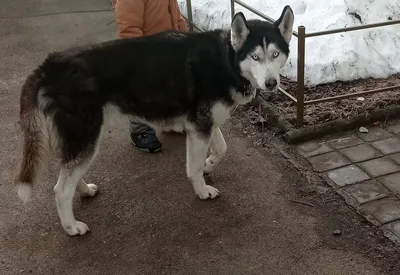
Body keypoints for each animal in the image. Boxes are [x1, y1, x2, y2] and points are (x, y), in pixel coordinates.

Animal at [15, 5, 294, 236]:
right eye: (255, 57)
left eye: (275, 54)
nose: (272, 83)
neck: (226, 59)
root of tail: (50, 65)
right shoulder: (200, 127)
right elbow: (193, 168)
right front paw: (202, 190)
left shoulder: (203, 123)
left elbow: (221, 149)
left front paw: (209, 165)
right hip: (86, 136)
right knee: (60, 189)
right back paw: (71, 226)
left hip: (79, 139)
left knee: (67, 174)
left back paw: (83, 190)